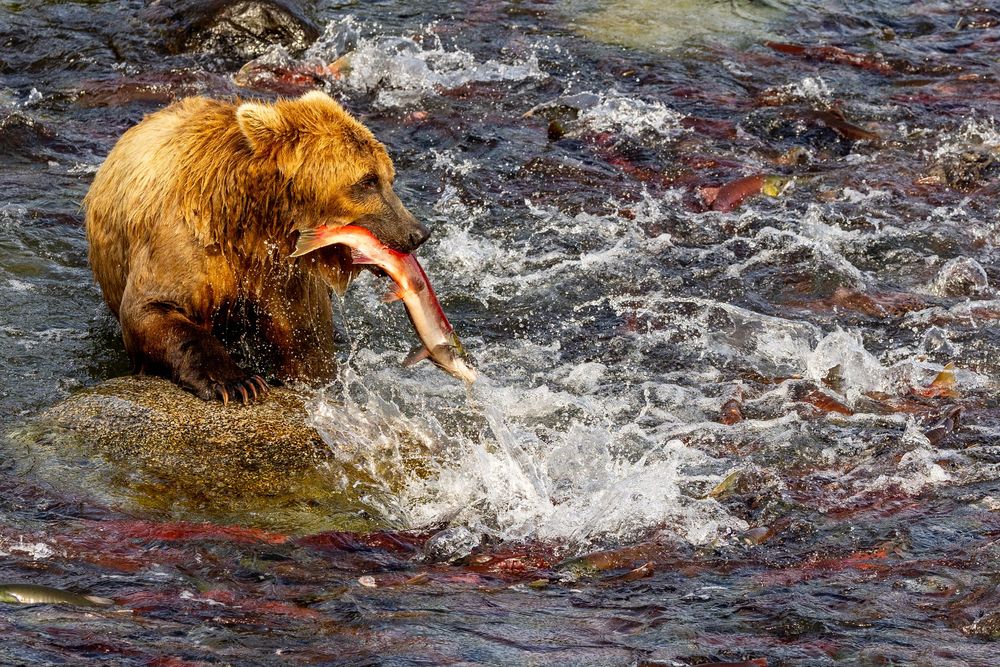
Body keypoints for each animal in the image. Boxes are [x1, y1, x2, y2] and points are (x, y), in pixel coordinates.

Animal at [84, 90, 429, 404]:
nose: (417, 233)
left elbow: (305, 343)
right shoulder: (185, 242)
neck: (253, 224)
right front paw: (239, 383)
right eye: (368, 180)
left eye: (388, 177)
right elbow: (154, 309)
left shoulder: (281, 275)